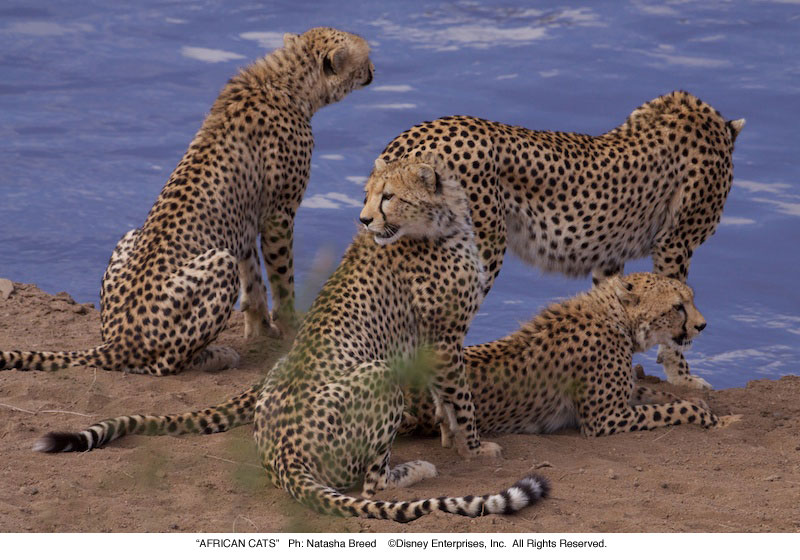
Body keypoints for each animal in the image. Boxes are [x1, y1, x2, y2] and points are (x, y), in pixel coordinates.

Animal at [0, 27, 376, 376]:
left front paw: (259, 329)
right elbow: (282, 280)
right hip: (217, 264)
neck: (284, 80)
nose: (376, 68)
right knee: (165, 364)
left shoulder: (244, 222)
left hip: (132, 236)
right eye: (366, 56)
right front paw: (290, 328)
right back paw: (215, 356)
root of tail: (117, 339)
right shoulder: (278, 216)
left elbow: (253, 280)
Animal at [32, 155, 552, 524]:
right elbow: (461, 399)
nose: (364, 219)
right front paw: (474, 447)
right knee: (372, 486)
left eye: (387, 196)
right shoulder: (444, 337)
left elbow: (446, 397)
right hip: (377, 377)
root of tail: (282, 455)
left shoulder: (436, 341)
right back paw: (414, 471)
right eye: (369, 194)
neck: (442, 225)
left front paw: (452, 436)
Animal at [372, 92, 748, 390]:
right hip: (481, 250)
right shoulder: (676, 241)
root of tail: (414, 137)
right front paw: (682, 376)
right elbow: (676, 304)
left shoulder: (609, 256)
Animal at [404, 272, 740, 438]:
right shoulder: (605, 419)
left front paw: (698, 401)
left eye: (690, 301)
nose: (702, 325)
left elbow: (656, 394)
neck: (614, 317)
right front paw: (713, 417)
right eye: (677, 306)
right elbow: (675, 409)